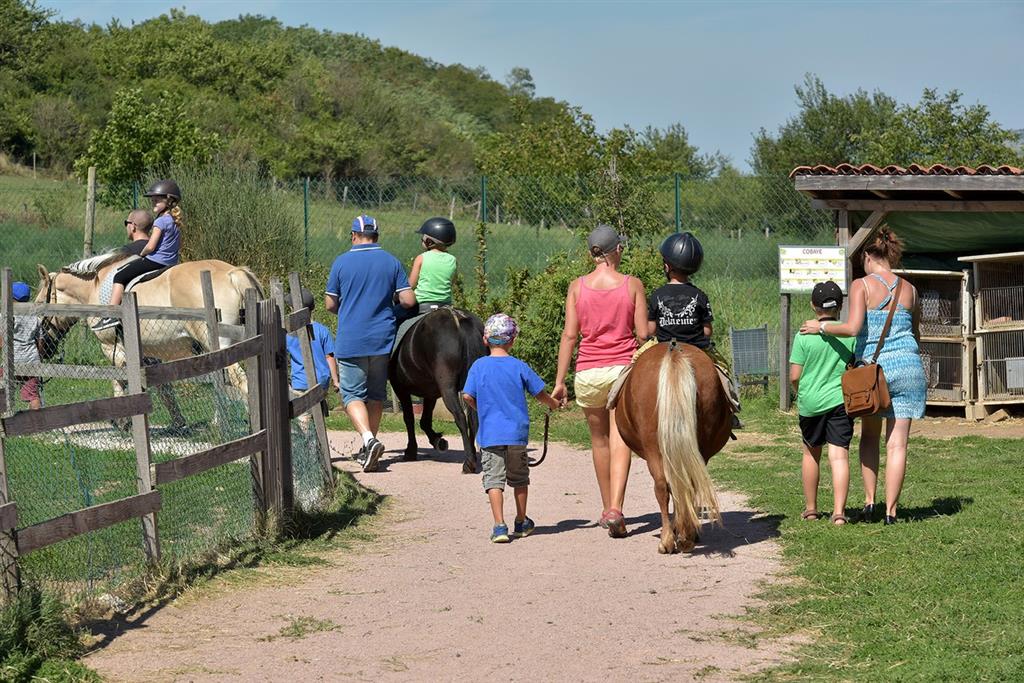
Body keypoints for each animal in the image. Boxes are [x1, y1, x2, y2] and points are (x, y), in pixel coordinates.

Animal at [37, 254, 264, 405]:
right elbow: (161, 387)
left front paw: (123, 419)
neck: (93, 289)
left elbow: (117, 377)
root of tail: (233, 273)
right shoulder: (148, 354)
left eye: (39, 303)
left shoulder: (111, 347)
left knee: (240, 382)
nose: (43, 349)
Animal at [614, 342, 737, 557]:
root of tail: (674, 351)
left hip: (653, 448)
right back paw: (686, 536)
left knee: (662, 486)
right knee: (686, 483)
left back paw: (668, 540)